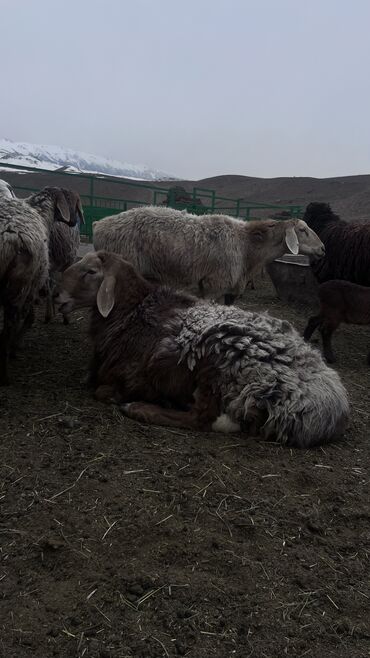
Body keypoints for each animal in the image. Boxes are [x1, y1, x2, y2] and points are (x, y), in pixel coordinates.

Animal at [0, 183, 80, 384]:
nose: (74, 221)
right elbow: (29, 318)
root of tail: (8, 238)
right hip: (17, 289)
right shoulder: (33, 286)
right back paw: (5, 373)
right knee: (8, 329)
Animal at [56, 249, 348, 448]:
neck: (133, 312)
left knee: (202, 418)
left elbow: (103, 391)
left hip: (218, 366)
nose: (57, 297)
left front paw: (123, 398)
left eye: (91, 271)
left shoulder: (131, 374)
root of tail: (331, 406)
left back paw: (141, 408)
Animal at [92, 206, 324, 304]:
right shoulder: (214, 286)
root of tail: (99, 224)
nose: (323, 248)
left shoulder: (229, 290)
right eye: (302, 230)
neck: (247, 245)